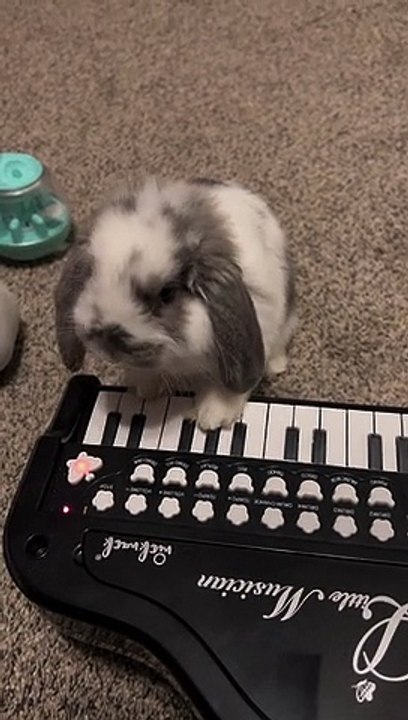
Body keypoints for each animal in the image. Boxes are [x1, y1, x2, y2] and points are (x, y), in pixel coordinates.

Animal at [54, 176, 296, 431]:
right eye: (91, 274)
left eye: (167, 293)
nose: (108, 341)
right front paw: (142, 391)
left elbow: (226, 387)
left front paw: (212, 418)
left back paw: (275, 366)